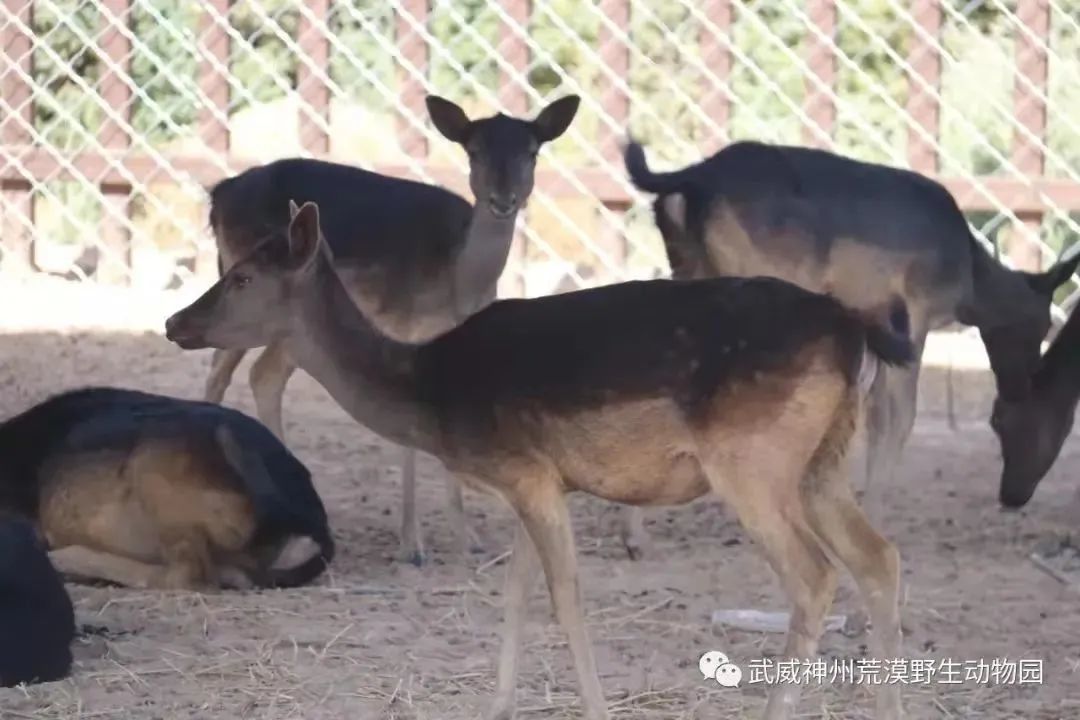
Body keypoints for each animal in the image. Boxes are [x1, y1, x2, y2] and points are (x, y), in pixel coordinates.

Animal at [165, 199, 915, 720]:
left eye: (243, 276)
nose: (175, 322)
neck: (431, 393)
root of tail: (854, 332)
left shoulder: (525, 471)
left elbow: (564, 597)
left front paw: (595, 708)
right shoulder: (535, 479)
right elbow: (518, 590)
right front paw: (496, 704)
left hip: (752, 460)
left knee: (815, 576)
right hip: (822, 462)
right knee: (879, 556)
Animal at [201, 94, 580, 565]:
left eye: (532, 152)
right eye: (474, 151)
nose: (503, 200)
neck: (457, 281)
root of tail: (219, 193)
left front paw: (468, 538)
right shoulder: (404, 328)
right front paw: (412, 545)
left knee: (249, 372)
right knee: (232, 373)